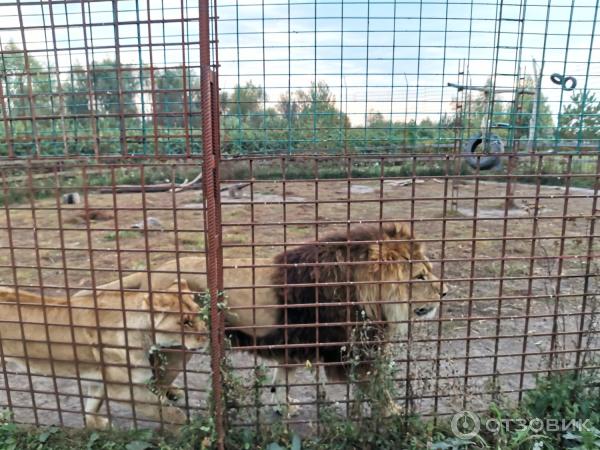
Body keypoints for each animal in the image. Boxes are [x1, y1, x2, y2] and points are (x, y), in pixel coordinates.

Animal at [0, 280, 206, 428]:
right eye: (186, 322)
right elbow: (170, 412)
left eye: (199, 312)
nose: (207, 336)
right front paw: (192, 431)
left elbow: (92, 405)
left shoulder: (100, 379)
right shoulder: (122, 389)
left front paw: (97, 424)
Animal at [85, 223, 446, 414]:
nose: (445, 292)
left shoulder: (290, 344)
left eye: (428, 271)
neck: (363, 291)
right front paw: (395, 413)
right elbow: (378, 389)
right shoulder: (349, 351)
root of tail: (152, 270)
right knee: (153, 384)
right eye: (420, 276)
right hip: (177, 348)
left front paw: (282, 407)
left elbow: (279, 381)